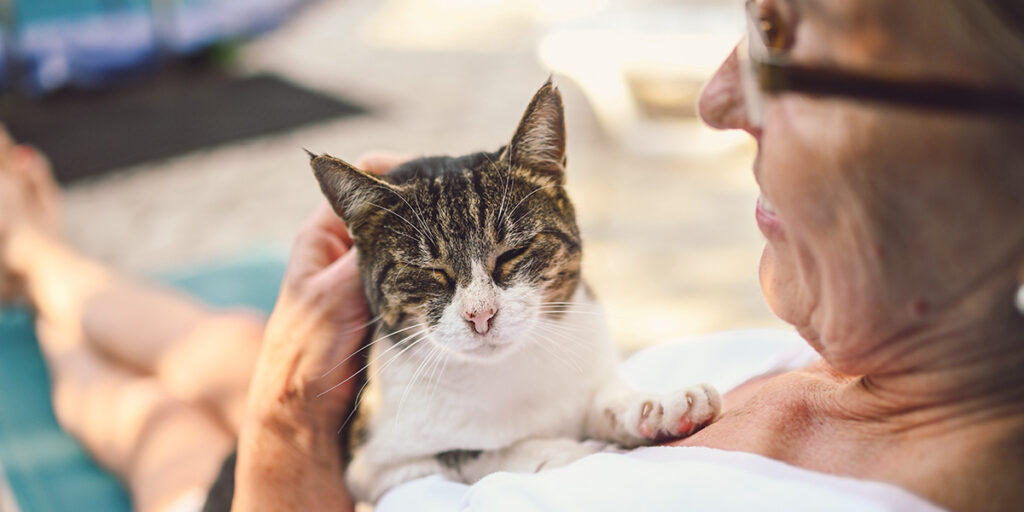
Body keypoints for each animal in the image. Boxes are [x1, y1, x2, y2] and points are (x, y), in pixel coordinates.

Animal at [311, 80, 720, 503]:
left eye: (512, 252)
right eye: (430, 271)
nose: (481, 314)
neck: (509, 370)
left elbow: (603, 400)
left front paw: (656, 406)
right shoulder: (375, 468)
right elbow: (473, 453)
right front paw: (568, 452)